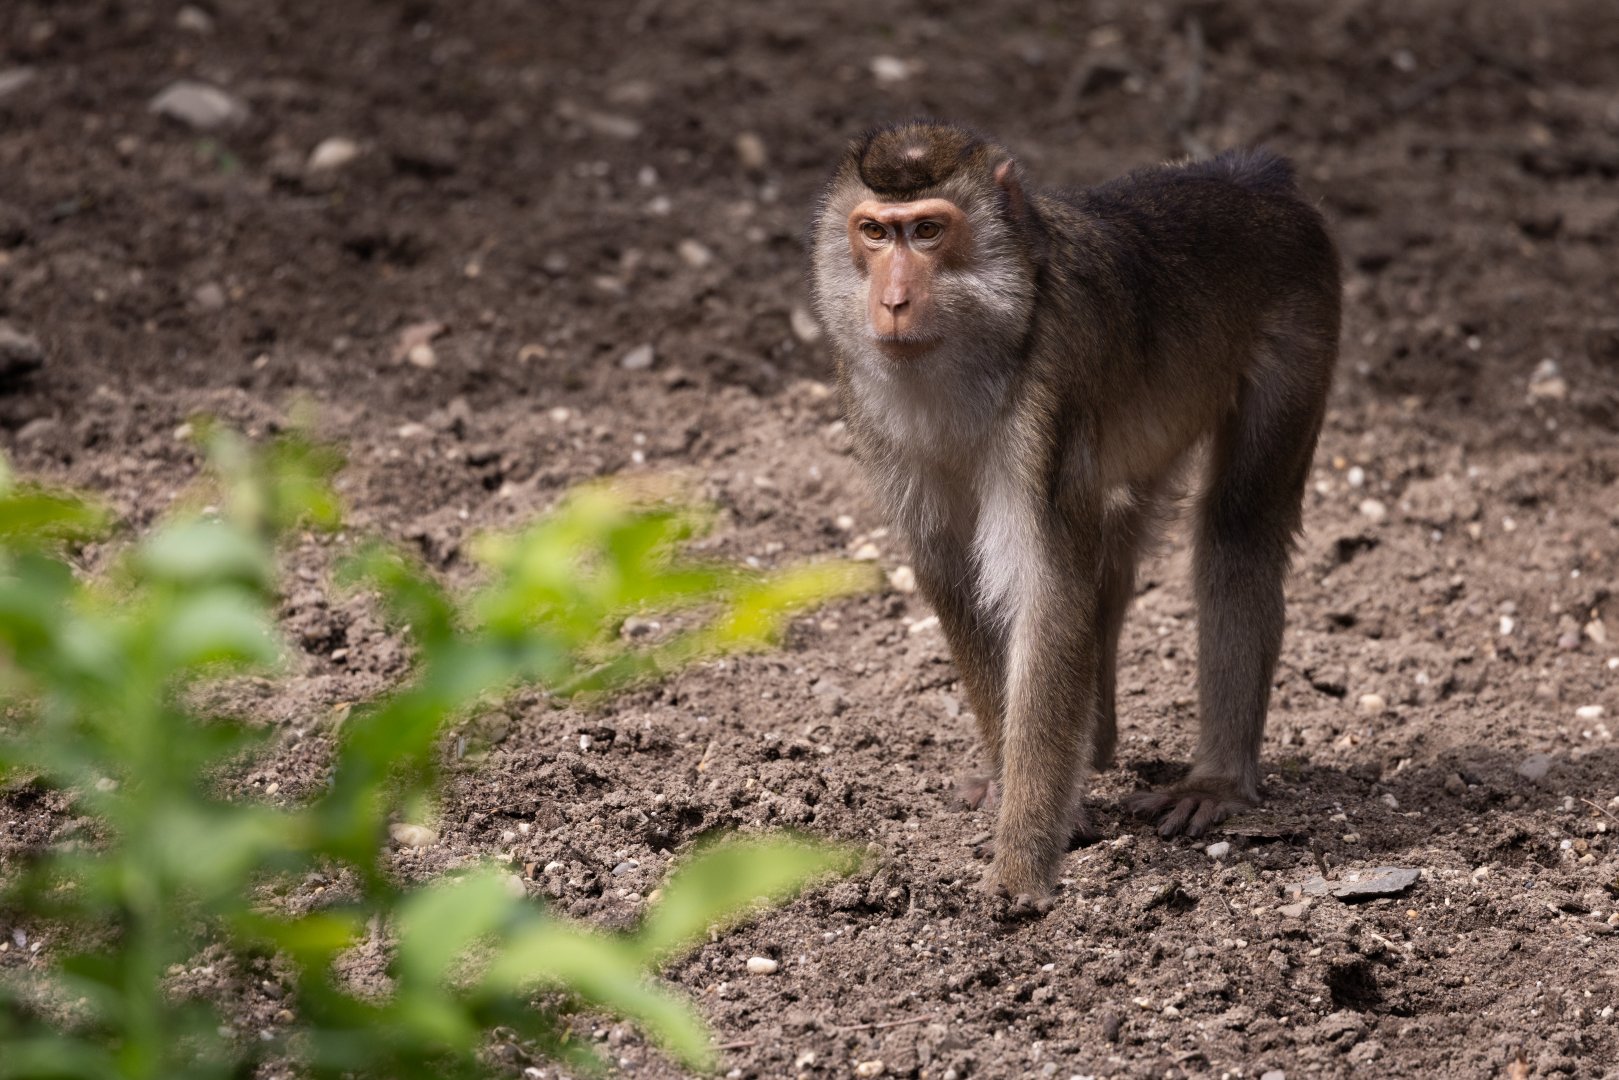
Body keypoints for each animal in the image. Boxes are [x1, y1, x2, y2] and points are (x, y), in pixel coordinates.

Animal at [809, 121, 1339, 902]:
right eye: (875, 232)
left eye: (929, 231)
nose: (894, 300)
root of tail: (1253, 180)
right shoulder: (866, 396)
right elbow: (955, 582)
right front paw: (1015, 786)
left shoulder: (1049, 389)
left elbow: (1048, 597)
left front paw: (1021, 866)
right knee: (1115, 539)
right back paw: (1095, 748)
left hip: (1302, 322)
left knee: (1237, 526)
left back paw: (1214, 781)